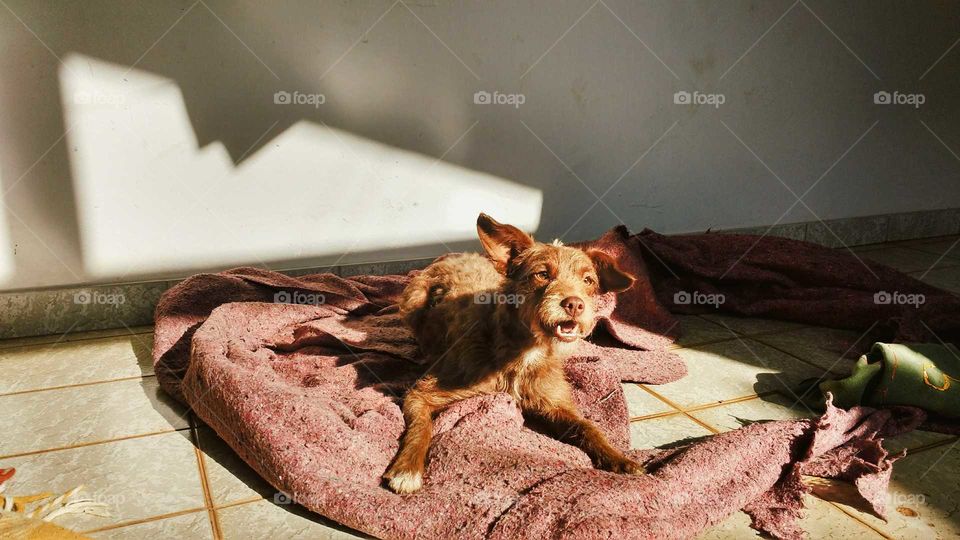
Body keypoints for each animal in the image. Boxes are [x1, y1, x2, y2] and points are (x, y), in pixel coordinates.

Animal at [382, 213, 644, 492]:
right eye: (542, 274)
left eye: (588, 280)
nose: (574, 304)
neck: (525, 352)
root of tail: (451, 254)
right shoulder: (423, 393)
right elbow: (422, 425)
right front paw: (407, 468)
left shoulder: (554, 404)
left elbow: (587, 426)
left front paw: (619, 458)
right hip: (412, 298)